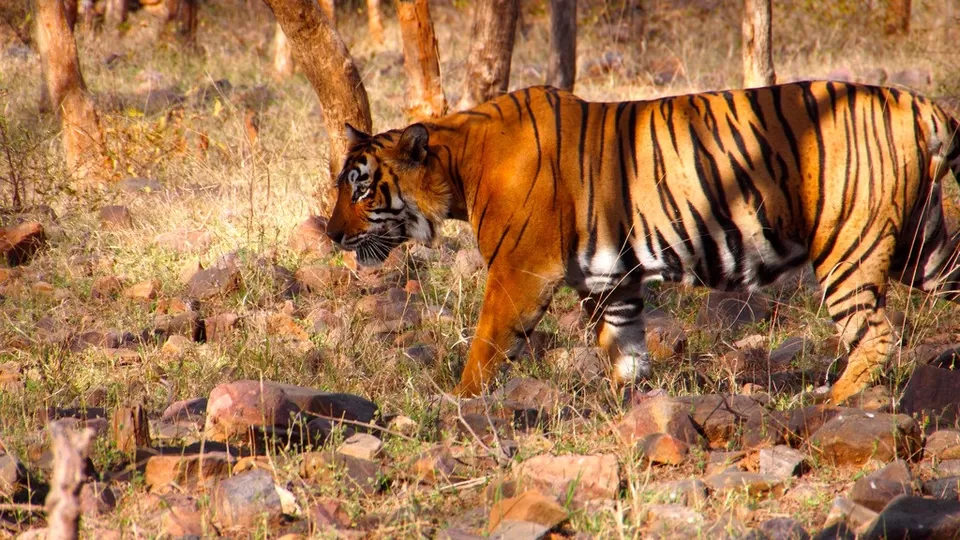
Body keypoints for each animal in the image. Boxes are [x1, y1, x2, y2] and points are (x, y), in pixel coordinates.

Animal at [324, 81, 960, 405]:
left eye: (360, 189)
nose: (331, 235)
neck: (458, 165)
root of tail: (922, 104)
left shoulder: (519, 271)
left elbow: (485, 344)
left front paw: (459, 400)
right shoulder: (610, 281)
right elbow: (625, 350)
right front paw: (625, 407)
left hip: (849, 245)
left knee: (875, 336)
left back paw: (829, 405)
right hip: (923, 246)